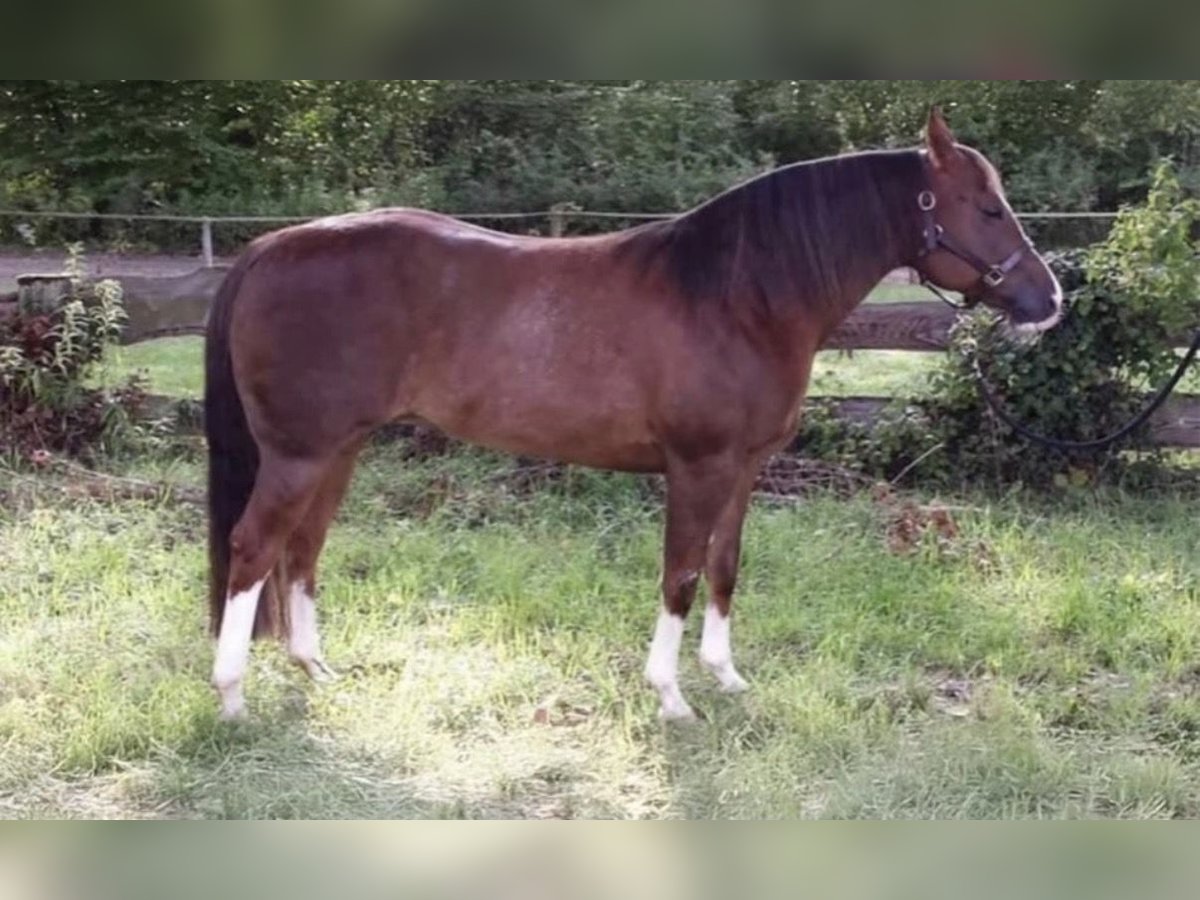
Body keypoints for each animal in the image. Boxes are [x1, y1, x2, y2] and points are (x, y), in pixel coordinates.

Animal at [204, 108, 1063, 722]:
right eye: (988, 208)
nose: (1049, 300)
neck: (737, 297)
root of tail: (270, 248)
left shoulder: (743, 469)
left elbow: (724, 568)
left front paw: (726, 678)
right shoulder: (697, 467)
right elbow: (679, 575)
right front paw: (672, 696)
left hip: (339, 449)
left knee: (302, 550)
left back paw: (314, 668)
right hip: (299, 454)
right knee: (252, 549)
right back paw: (232, 696)